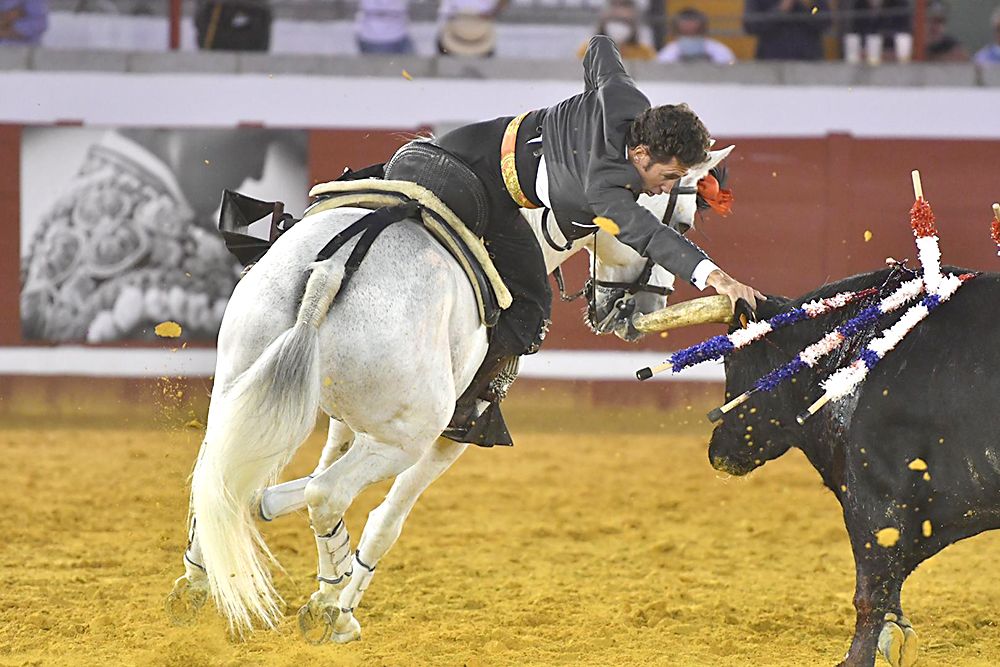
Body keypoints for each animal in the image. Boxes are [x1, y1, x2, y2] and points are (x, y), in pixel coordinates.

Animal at [166, 145, 736, 640]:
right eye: (682, 224)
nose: (640, 311)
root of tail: (329, 271)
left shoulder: (346, 421)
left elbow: (304, 474)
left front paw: (287, 528)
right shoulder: (454, 435)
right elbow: (384, 520)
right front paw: (340, 598)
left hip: (241, 386)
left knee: (218, 471)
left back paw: (199, 582)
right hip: (412, 436)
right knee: (326, 494)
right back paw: (330, 611)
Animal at [708, 268, 1000, 667]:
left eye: (731, 363)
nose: (716, 450)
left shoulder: (873, 500)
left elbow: (870, 593)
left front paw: (855, 659)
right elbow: (888, 585)